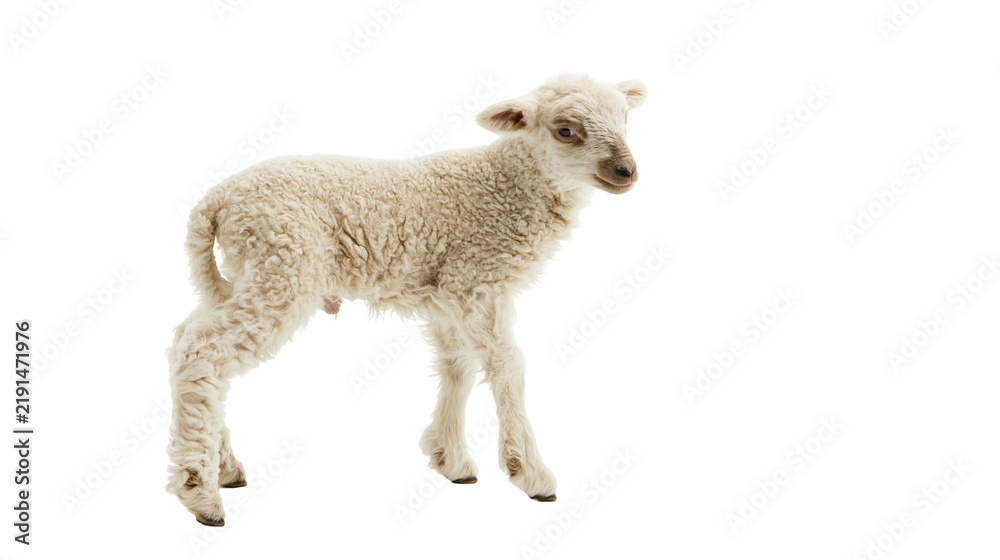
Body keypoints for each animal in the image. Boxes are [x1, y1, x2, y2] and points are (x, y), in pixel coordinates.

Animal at [166, 73, 647, 526]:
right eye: (566, 131)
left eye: (625, 119)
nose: (628, 172)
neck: (505, 184)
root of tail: (216, 200)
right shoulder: (475, 278)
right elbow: (508, 366)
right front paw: (529, 472)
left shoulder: (447, 294)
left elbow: (458, 367)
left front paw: (451, 459)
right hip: (283, 266)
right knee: (203, 352)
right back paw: (201, 493)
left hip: (242, 272)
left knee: (186, 343)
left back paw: (223, 466)